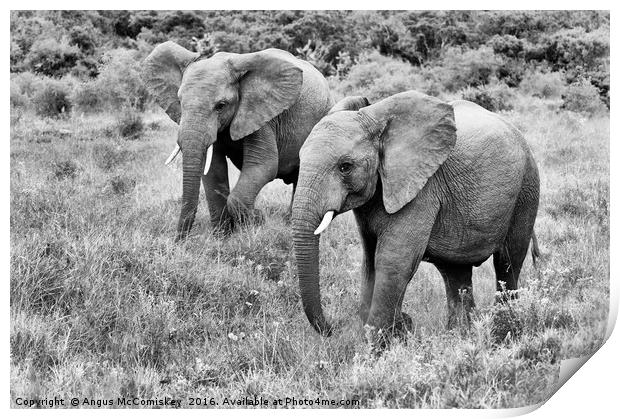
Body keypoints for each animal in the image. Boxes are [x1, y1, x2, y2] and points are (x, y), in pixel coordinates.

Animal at [141, 42, 334, 241]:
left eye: (221, 106)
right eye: (179, 102)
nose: (180, 241)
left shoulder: (262, 114)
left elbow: (263, 165)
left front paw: (254, 224)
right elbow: (213, 170)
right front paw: (223, 237)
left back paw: (290, 223)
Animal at [290, 90, 536, 342]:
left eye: (345, 167)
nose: (332, 329)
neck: (375, 118)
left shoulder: (422, 190)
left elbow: (393, 261)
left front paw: (376, 344)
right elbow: (369, 261)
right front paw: (391, 332)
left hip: (526, 188)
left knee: (508, 262)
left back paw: (505, 329)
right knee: (456, 272)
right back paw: (460, 335)